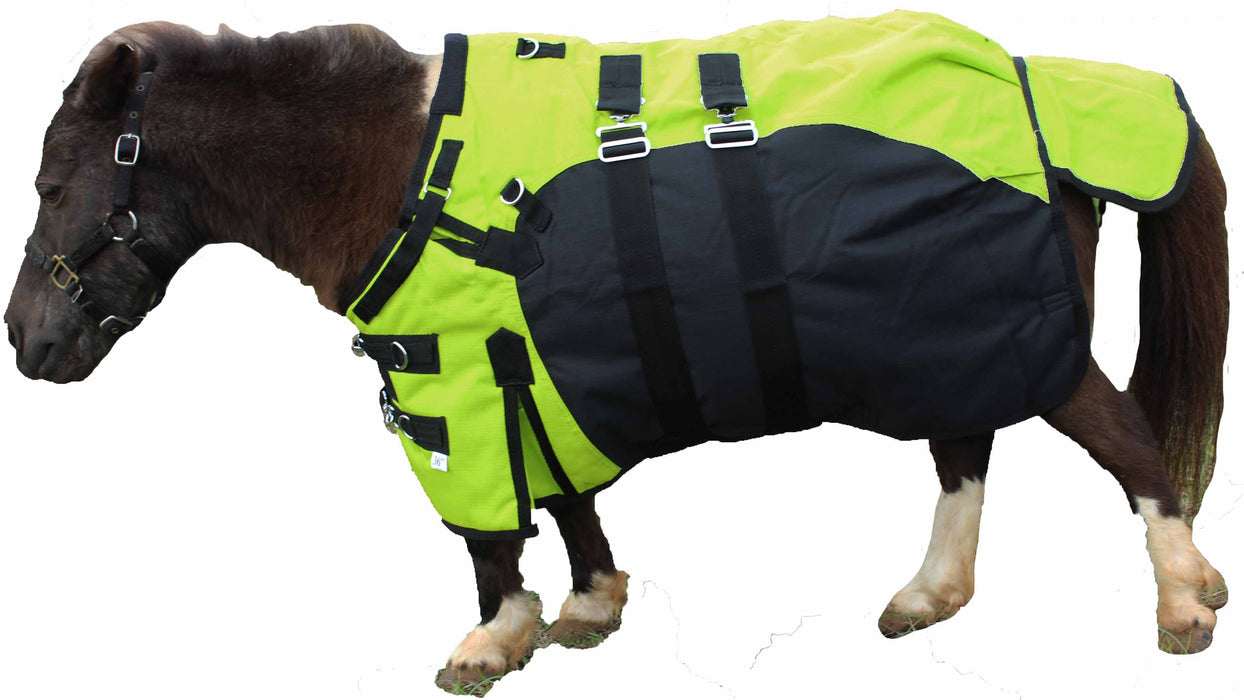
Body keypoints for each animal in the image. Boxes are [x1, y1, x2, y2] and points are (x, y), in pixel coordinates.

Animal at [3, 16, 1230, 696]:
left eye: (54, 187)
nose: (27, 340)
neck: (389, 164)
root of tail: (1045, 91)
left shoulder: (454, 373)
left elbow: (493, 524)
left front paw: (493, 640)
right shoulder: (536, 361)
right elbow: (564, 486)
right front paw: (589, 605)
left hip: (1007, 332)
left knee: (1125, 443)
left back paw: (1180, 601)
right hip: (941, 329)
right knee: (964, 450)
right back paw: (930, 594)